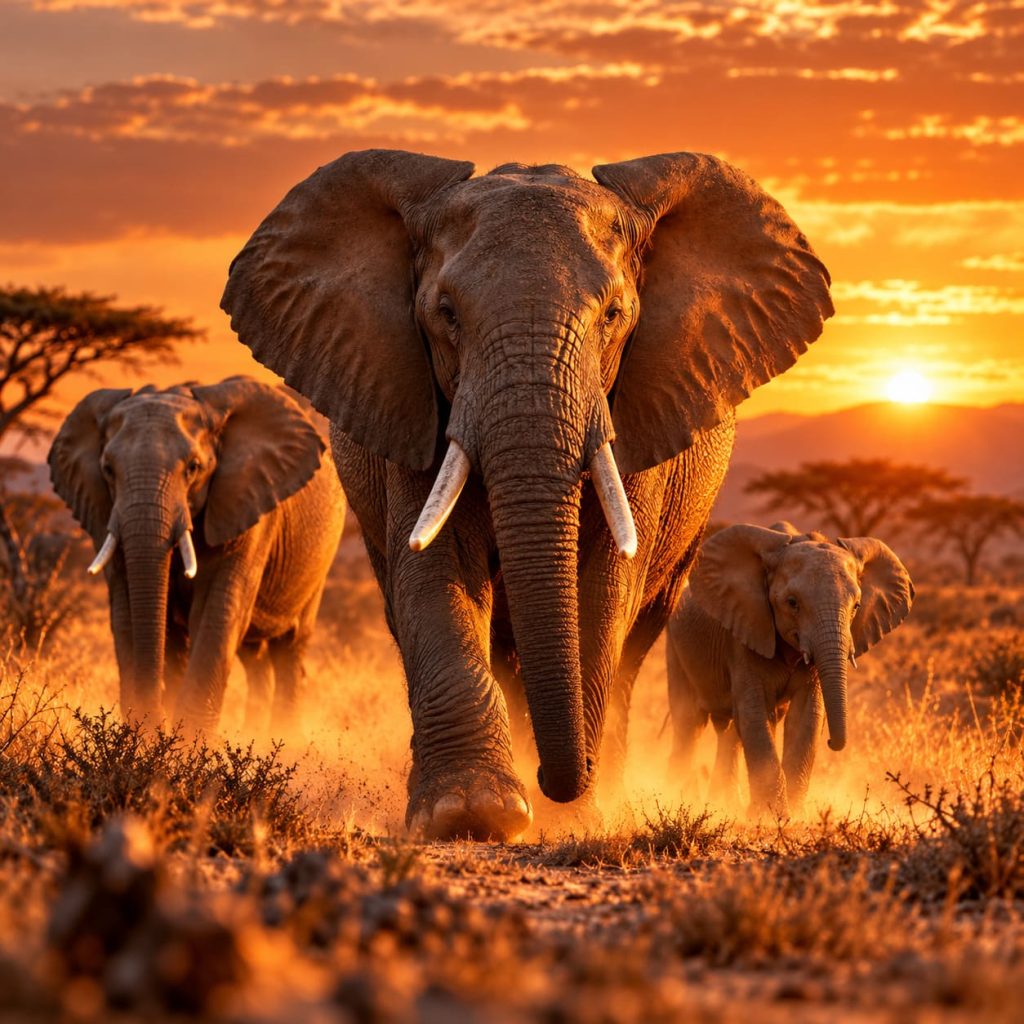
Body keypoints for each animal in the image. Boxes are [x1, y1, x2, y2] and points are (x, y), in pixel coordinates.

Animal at [48, 376, 345, 732]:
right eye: (107, 469)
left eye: (193, 468)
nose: (153, 718)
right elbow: (125, 609)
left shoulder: (248, 507)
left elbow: (217, 610)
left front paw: (185, 743)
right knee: (254, 656)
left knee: (290, 647)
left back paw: (284, 736)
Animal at [220, 148, 834, 840]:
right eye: (446, 314)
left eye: (613, 316)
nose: (553, 779)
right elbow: (434, 573)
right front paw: (469, 813)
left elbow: (603, 587)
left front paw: (572, 819)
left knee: (635, 636)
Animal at [666, 521, 914, 815]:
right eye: (792, 603)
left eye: (856, 606)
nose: (832, 742)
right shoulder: (745, 633)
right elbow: (755, 714)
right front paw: (771, 817)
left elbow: (805, 717)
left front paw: (791, 816)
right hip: (675, 647)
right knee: (689, 723)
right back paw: (680, 798)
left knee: (728, 732)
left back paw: (725, 804)